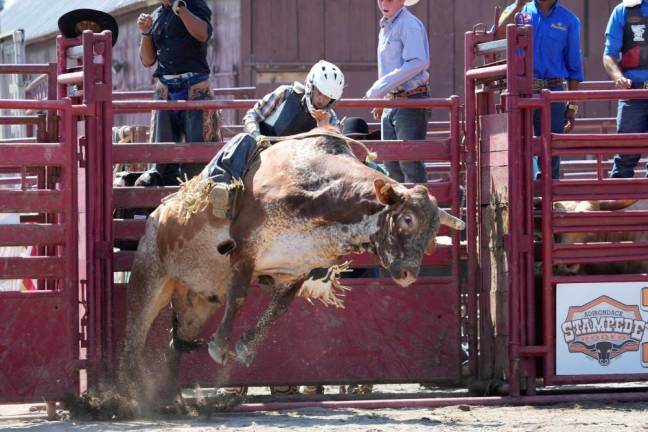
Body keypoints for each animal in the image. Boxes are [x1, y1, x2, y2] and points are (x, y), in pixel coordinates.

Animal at [119, 127, 466, 402]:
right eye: (407, 219)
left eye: (433, 236)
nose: (409, 273)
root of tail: (156, 215)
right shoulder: (246, 249)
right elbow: (240, 295)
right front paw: (219, 348)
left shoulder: (296, 270)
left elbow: (279, 310)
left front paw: (245, 348)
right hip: (148, 277)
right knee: (133, 339)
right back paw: (125, 396)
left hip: (197, 304)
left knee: (174, 345)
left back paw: (168, 397)